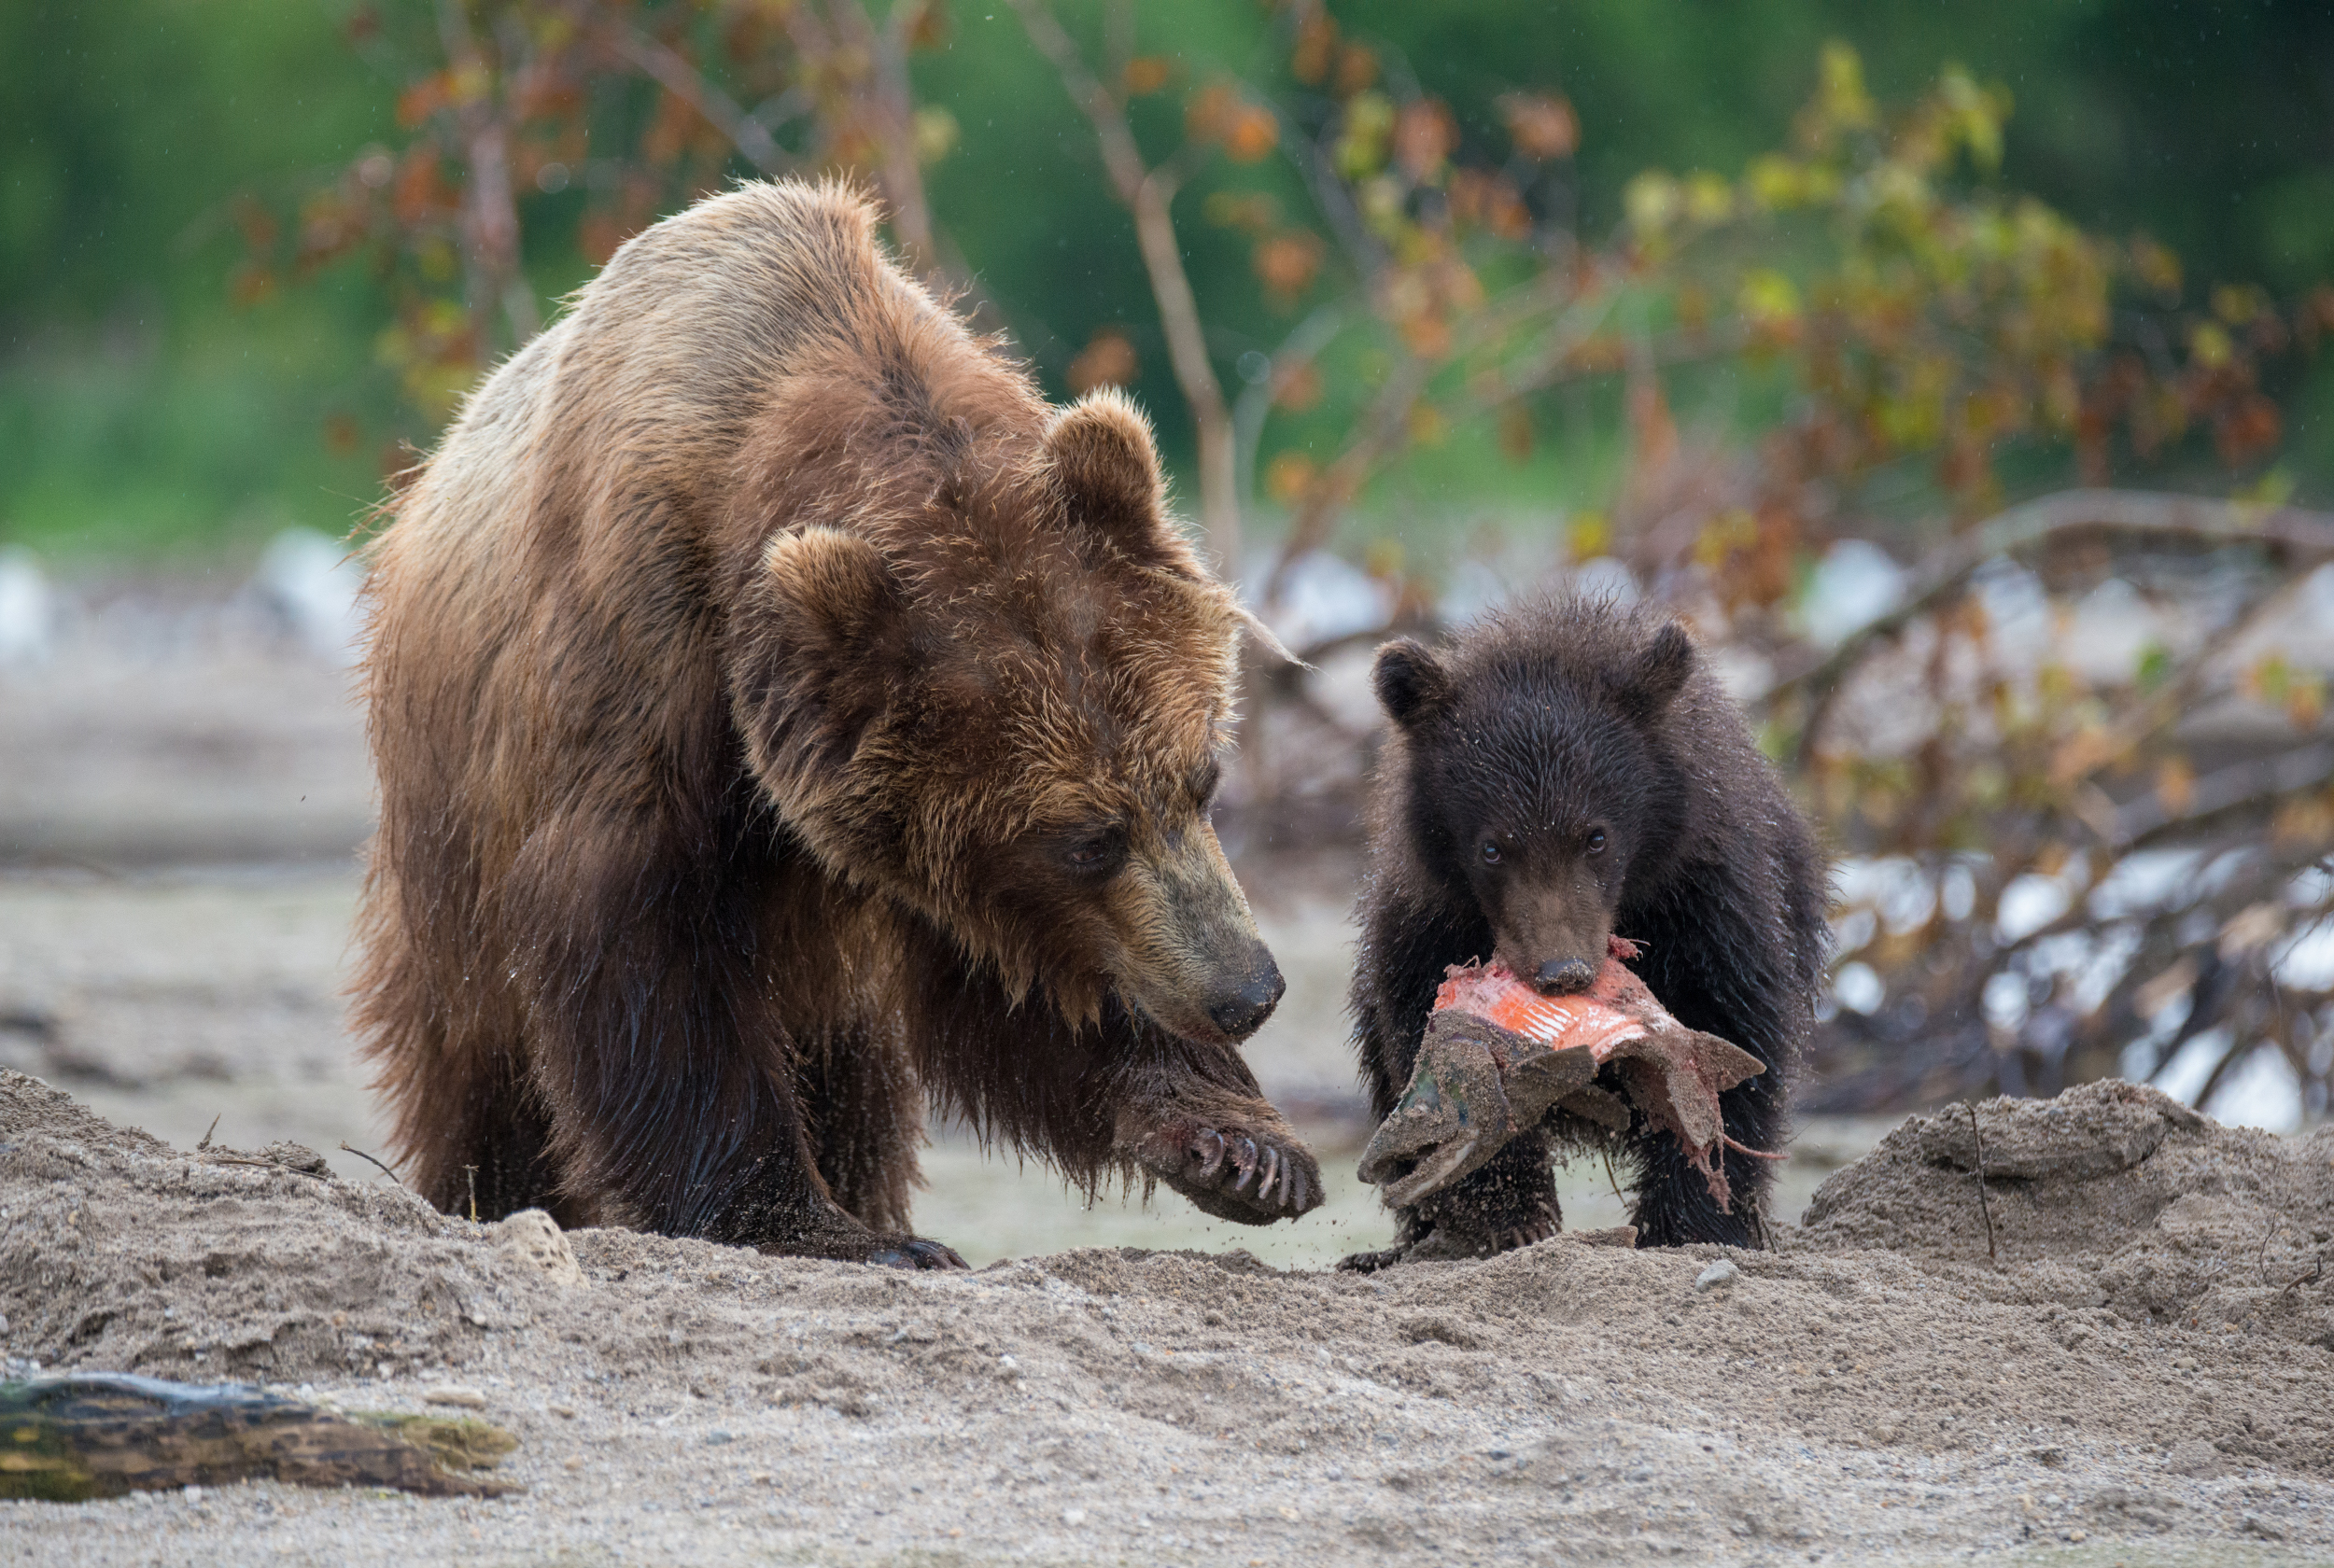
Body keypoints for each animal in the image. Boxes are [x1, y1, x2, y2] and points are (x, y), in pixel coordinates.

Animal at [355, 177, 1326, 1269]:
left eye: (1203, 778)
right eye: (1085, 838)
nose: (1247, 993)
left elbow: (1024, 977)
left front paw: (1241, 1147)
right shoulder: (643, 665)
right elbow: (645, 951)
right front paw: (821, 1228)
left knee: (858, 1084)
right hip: (448, 860)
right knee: (481, 1071)